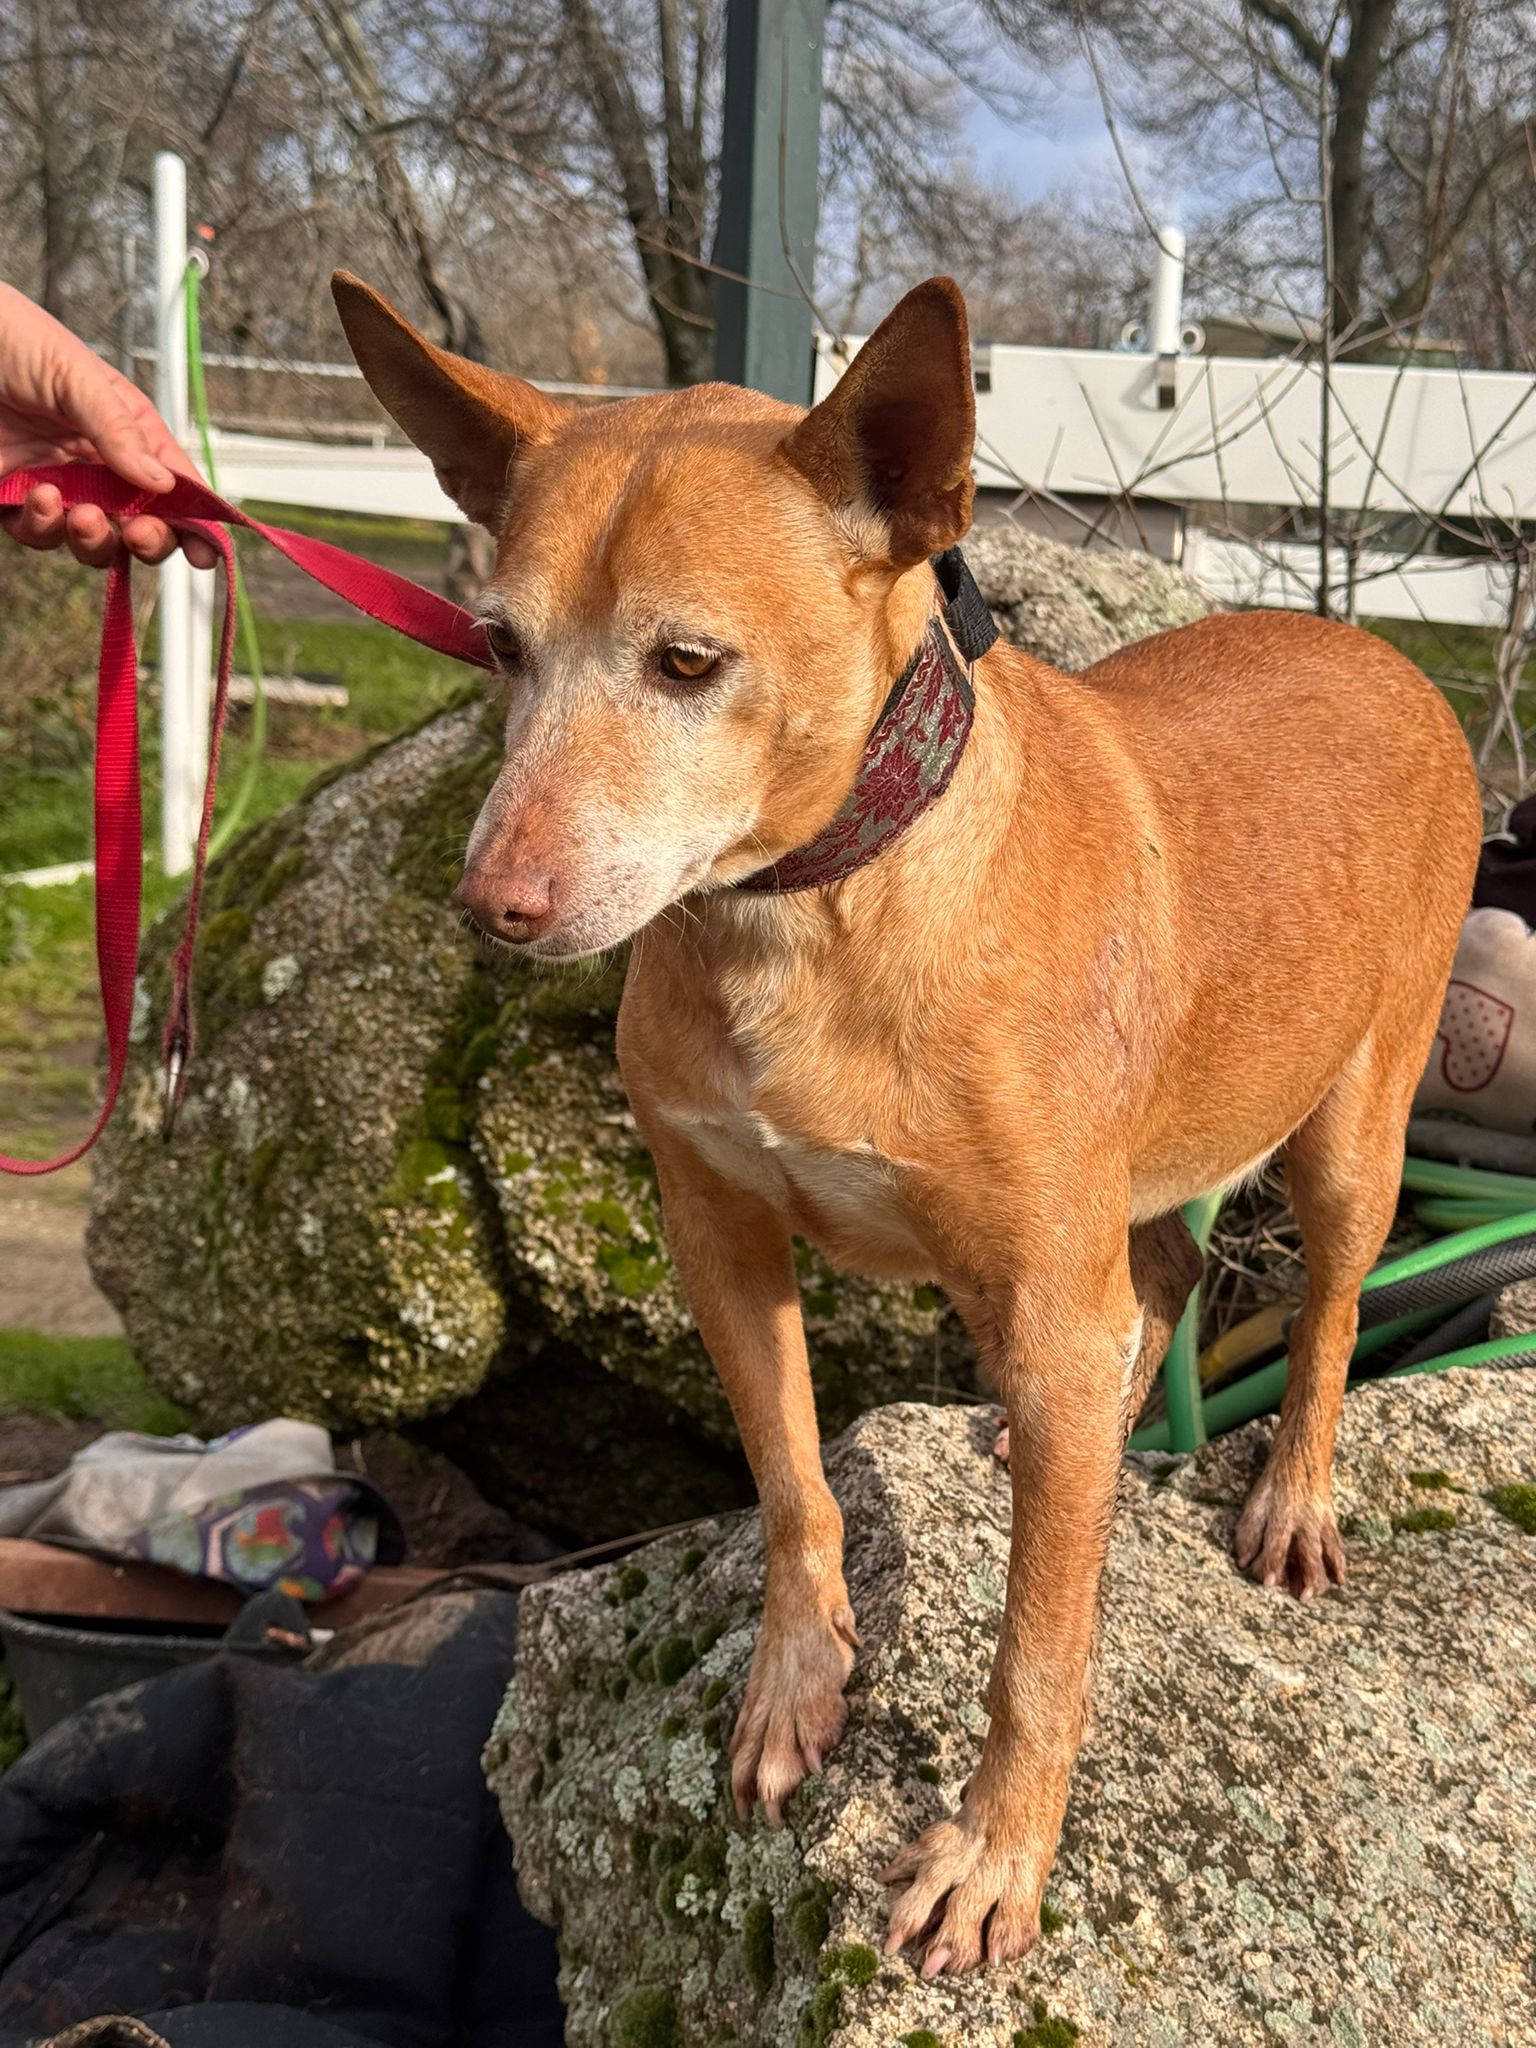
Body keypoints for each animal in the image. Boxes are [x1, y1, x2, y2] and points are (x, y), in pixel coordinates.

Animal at [333, 269, 1481, 1974]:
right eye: (496, 644)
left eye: (688, 663)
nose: (493, 905)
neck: (810, 912)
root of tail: (1384, 653)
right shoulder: (719, 1237)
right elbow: (793, 1484)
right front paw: (792, 1681)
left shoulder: (1042, 1283)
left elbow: (1040, 1647)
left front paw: (998, 1853)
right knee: (1156, 1285)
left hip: (1354, 1130)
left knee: (1327, 1310)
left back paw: (1290, 1495)